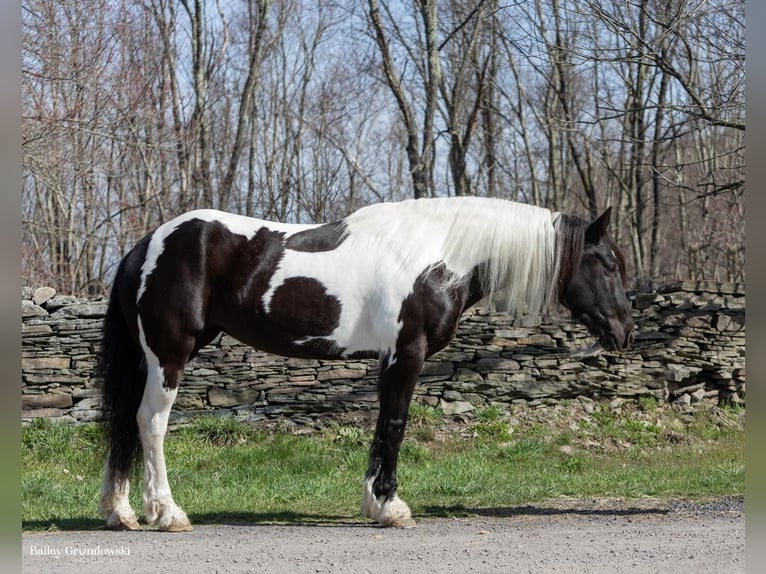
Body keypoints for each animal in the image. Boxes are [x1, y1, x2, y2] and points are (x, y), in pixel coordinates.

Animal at [97, 196, 636, 532]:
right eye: (609, 264)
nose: (625, 333)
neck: (440, 256)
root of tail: (146, 245)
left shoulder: (388, 360)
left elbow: (381, 426)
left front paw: (374, 502)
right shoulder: (406, 354)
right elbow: (395, 425)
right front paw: (391, 506)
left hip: (151, 358)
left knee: (124, 421)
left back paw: (120, 512)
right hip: (170, 354)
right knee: (150, 423)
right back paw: (167, 513)